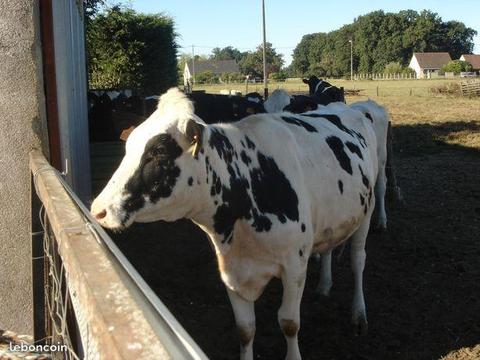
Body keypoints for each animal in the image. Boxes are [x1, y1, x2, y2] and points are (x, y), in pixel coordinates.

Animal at [92, 88, 378, 360]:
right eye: (129, 145)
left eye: (158, 152)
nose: (98, 210)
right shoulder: (230, 269)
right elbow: (245, 328)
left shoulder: (295, 265)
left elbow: (289, 323)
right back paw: (325, 286)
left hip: (368, 210)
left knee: (359, 260)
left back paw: (359, 314)